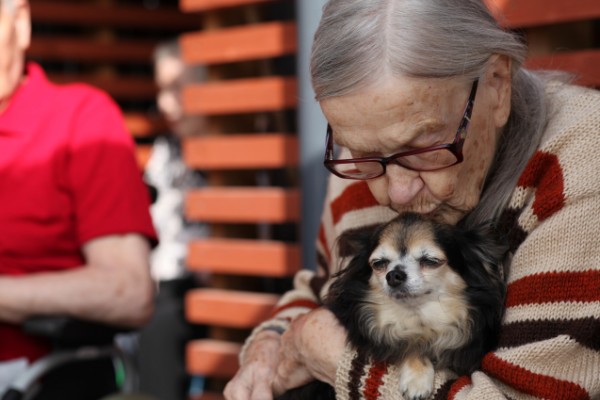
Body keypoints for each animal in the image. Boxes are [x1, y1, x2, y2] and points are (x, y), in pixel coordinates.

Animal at [280, 212, 506, 400]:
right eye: (379, 263)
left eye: (430, 261)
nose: (394, 275)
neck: (418, 317)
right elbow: (408, 344)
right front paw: (417, 377)